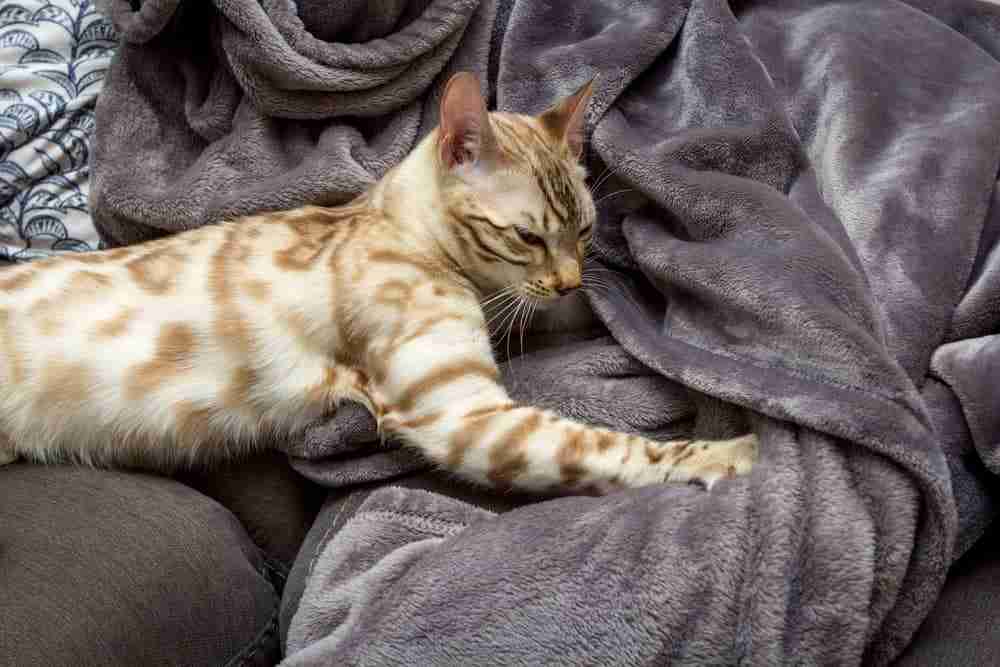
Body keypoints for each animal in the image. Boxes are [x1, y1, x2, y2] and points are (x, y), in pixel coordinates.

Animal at [0, 72, 752, 496]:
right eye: (528, 236)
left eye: (587, 232)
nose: (568, 281)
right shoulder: (460, 412)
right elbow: (610, 446)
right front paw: (734, 454)